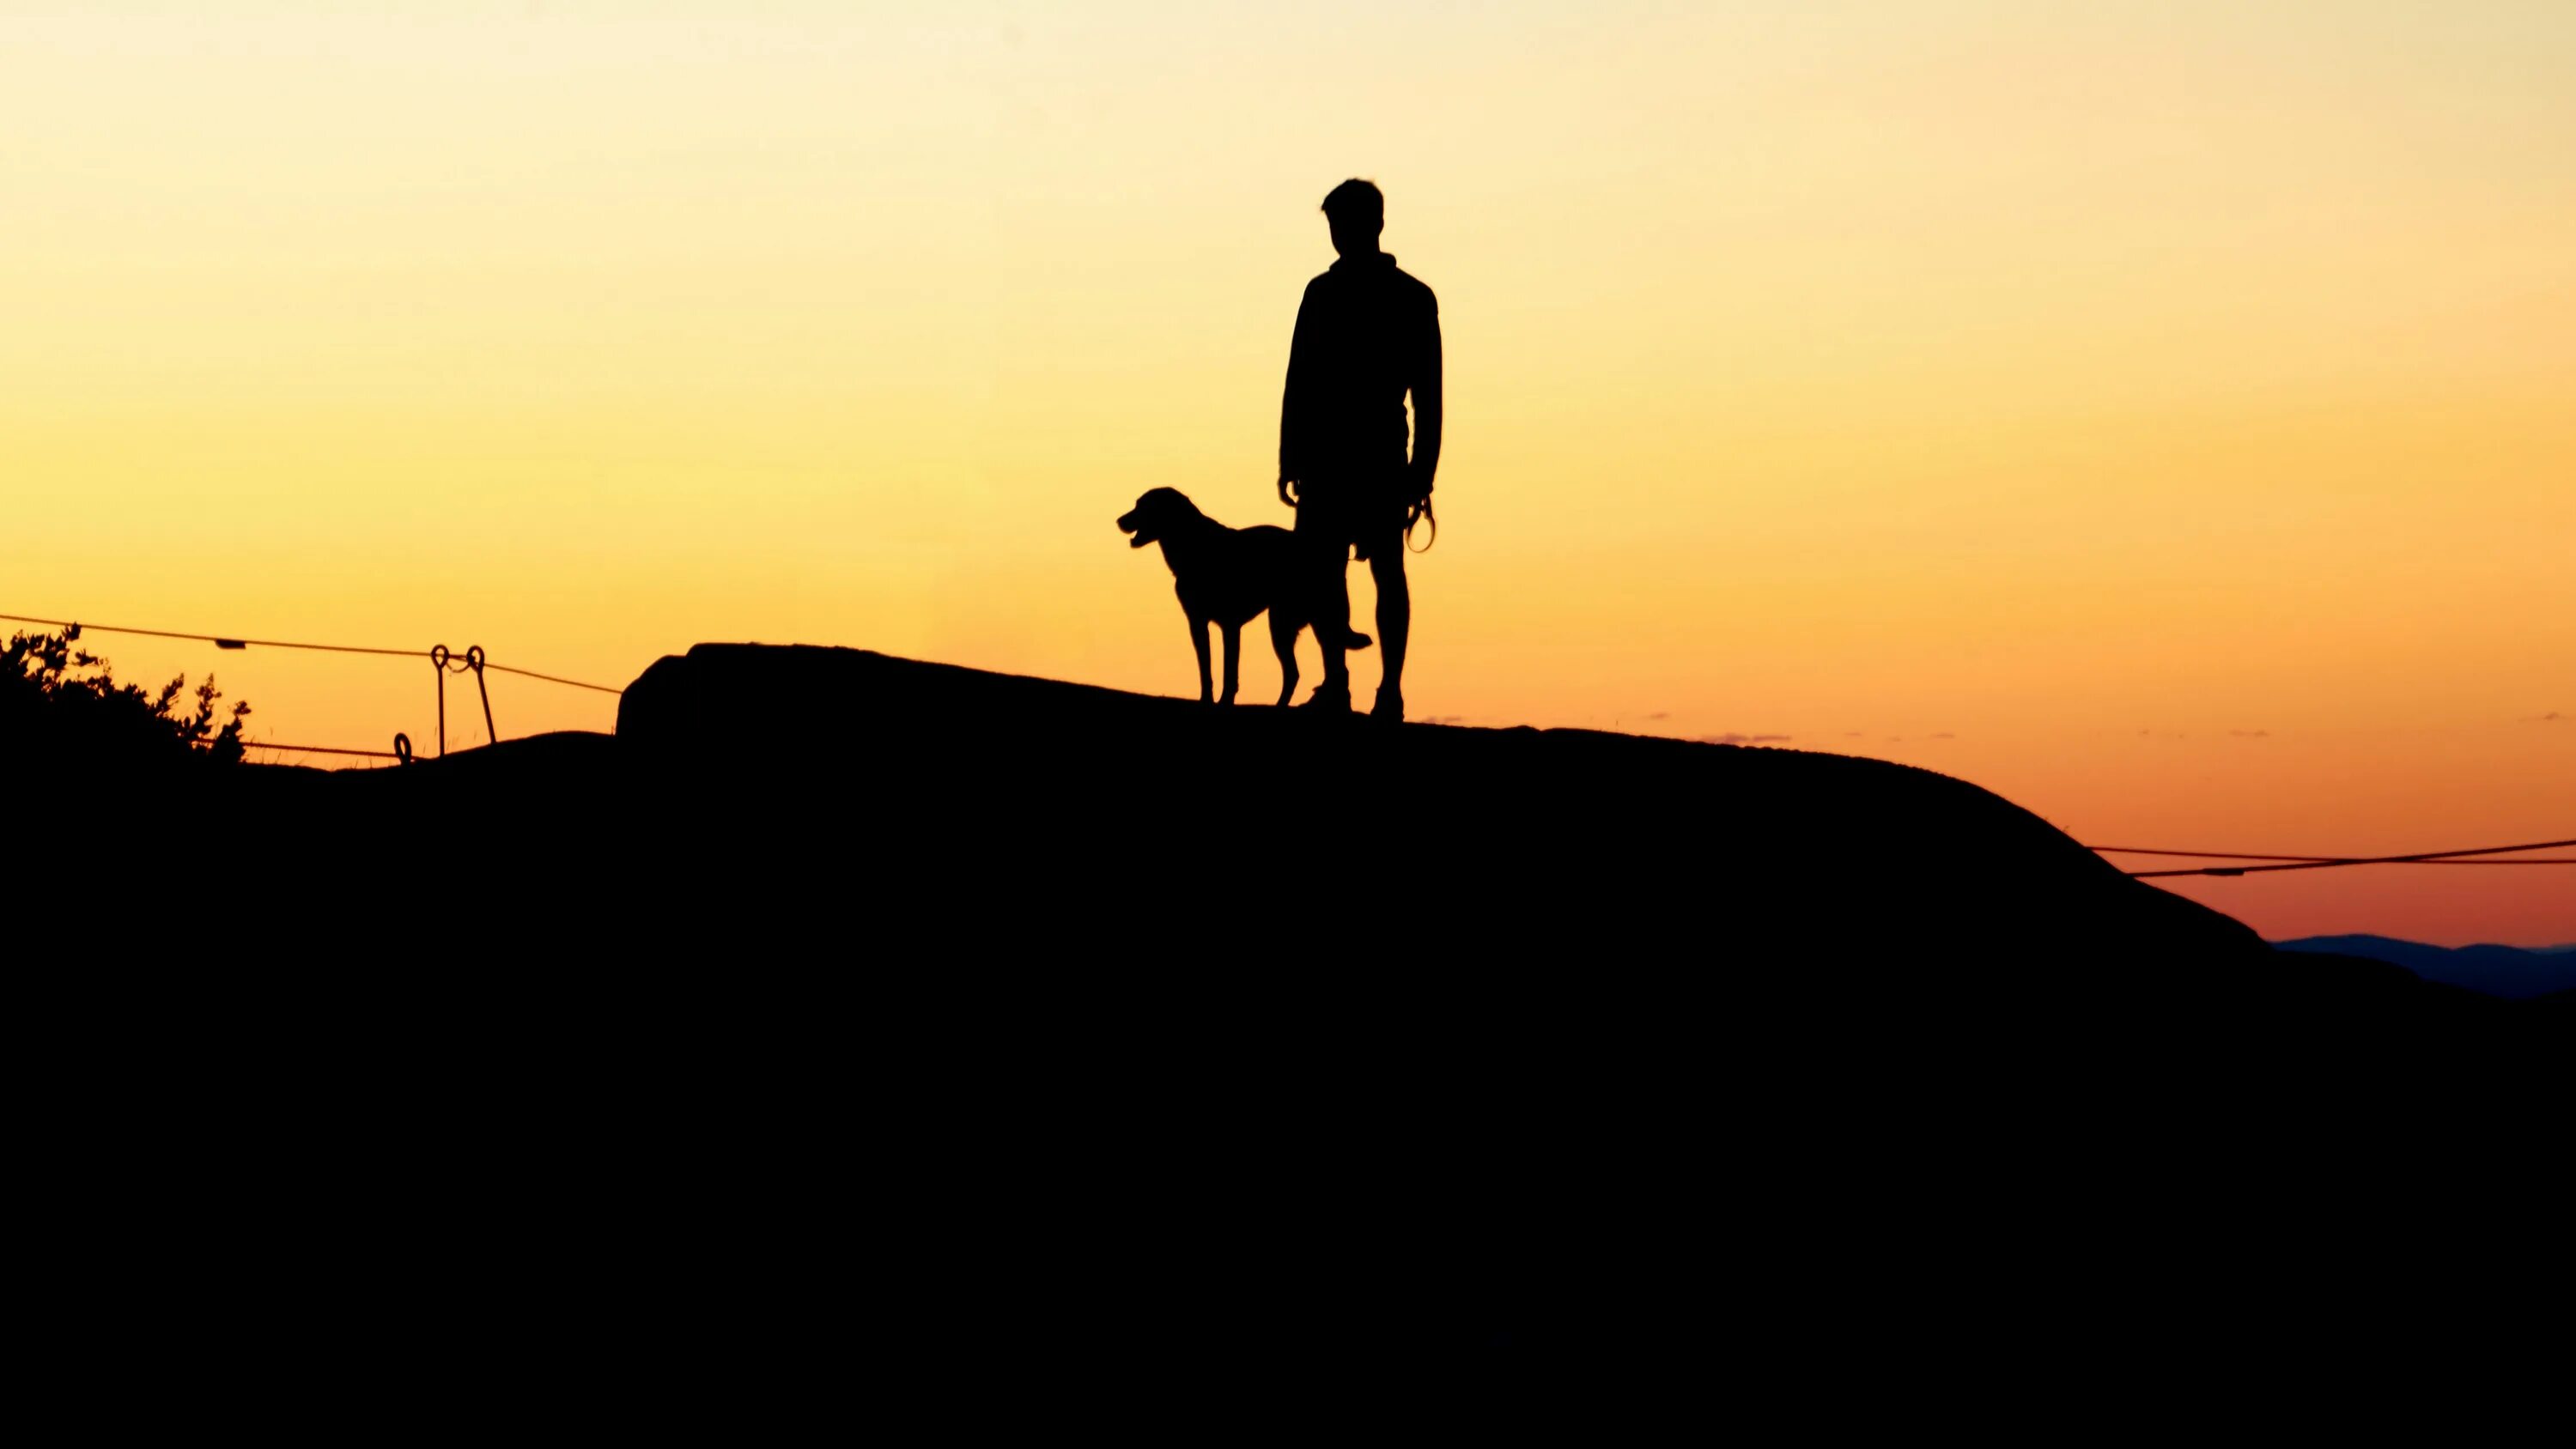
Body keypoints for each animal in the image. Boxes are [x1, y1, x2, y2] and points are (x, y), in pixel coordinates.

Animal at [1123, 486, 1370, 710]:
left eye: (1143, 507)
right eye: (1137, 504)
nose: (1119, 520)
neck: (1196, 547)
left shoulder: (1229, 625)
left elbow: (1229, 671)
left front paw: (1225, 702)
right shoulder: (1197, 623)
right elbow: (1206, 668)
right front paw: (1207, 700)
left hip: (1284, 624)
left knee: (1296, 672)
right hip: (1308, 624)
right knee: (1311, 666)